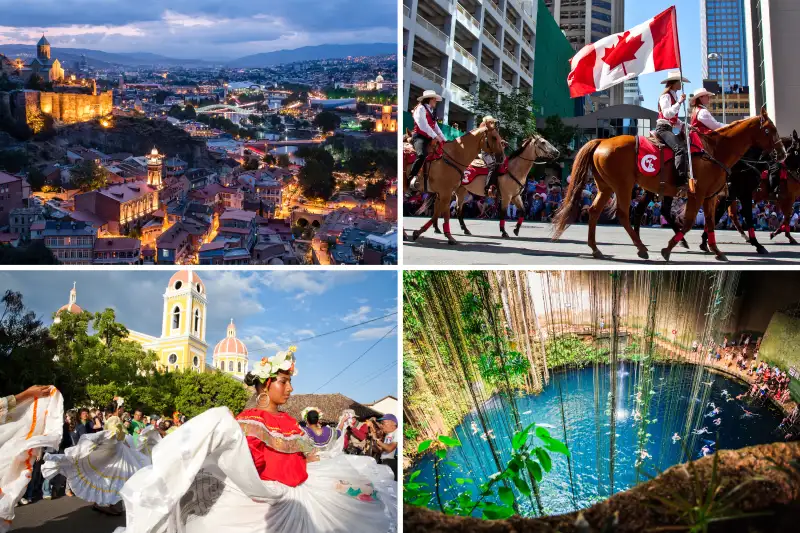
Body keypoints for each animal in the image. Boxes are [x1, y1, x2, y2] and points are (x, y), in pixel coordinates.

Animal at [552, 105, 784, 260]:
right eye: (769, 130)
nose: (781, 153)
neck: (715, 151)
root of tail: (602, 141)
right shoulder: (700, 194)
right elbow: (690, 222)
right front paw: (668, 248)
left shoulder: (711, 197)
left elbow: (710, 222)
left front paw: (716, 250)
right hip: (623, 186)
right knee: (624, 214)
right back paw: (641, 248)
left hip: (607, 187)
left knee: (594, 211)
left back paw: (596, 248)